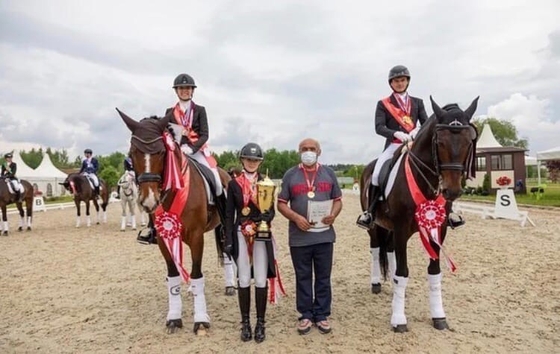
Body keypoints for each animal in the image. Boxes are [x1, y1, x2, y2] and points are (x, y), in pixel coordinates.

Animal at [118, 109, 232, 336]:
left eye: (162, 152)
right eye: (132, 152)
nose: (149, 200)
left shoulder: (196, 236)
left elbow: (197, 274)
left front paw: (200, 320)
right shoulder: (165, 238)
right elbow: (173, 275)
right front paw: (174, 318)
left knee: (228, 253)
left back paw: (232, 285)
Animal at [360, 96, 480, 332]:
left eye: (469, 141)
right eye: (439, 142)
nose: (452, 191)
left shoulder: (438, 229)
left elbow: (433, 272)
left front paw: (438, 316)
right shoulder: (401, 227)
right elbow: (403, 272)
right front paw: (399, 320)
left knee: (389, 251)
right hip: (375, 225)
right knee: (376, 249)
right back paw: (376, 283)